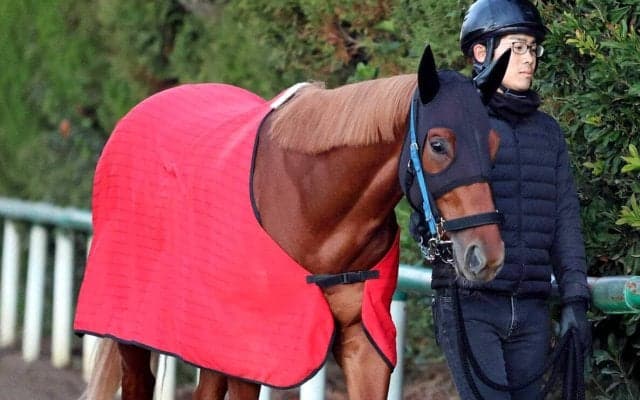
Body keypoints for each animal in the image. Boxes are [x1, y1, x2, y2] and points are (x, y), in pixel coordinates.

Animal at [75, 45, 509, 400]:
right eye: (438, 144)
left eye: (493, 144)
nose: (485, 255)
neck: (315, 207)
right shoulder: (254, 352)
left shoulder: (364, 343)